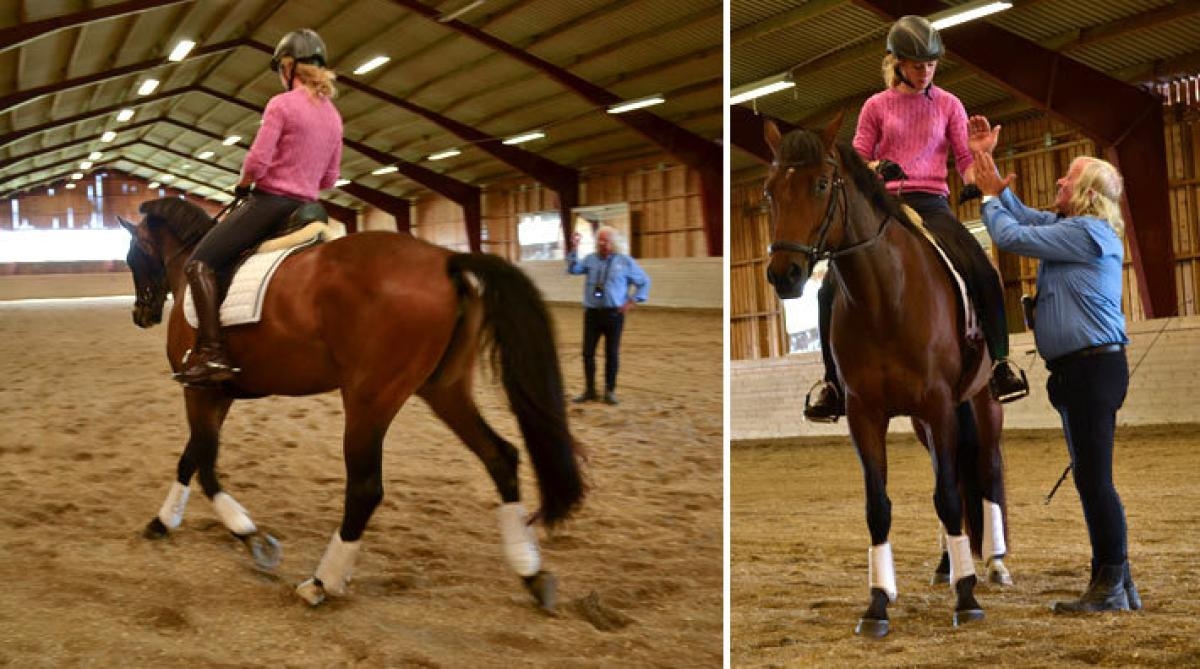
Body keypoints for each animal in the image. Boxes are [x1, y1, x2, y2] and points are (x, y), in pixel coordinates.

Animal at [120, 196, 585, 611]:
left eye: (131, 257)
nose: (141, 314)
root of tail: (445, 261)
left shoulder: (199, 390)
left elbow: (201, 462)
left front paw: (243, 534)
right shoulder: (219, 394)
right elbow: (194, 458)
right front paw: (176, 523)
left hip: (369, 398)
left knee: (365, 488)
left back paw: (320, 583)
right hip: (445, 389)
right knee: (500, 456)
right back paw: (531, 572)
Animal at [763, 119, 1008, 637]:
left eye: (821, 184)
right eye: (770, 192)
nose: (784, 275)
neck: (884, 298)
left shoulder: (938, 404)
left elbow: (950, 496)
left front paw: (966, 597)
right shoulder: (865, 414)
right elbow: (880, 507)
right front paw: (877, 602)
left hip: (981, 402)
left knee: (987, 471)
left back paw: (995, 563)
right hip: (924, 421)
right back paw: (946, 564)